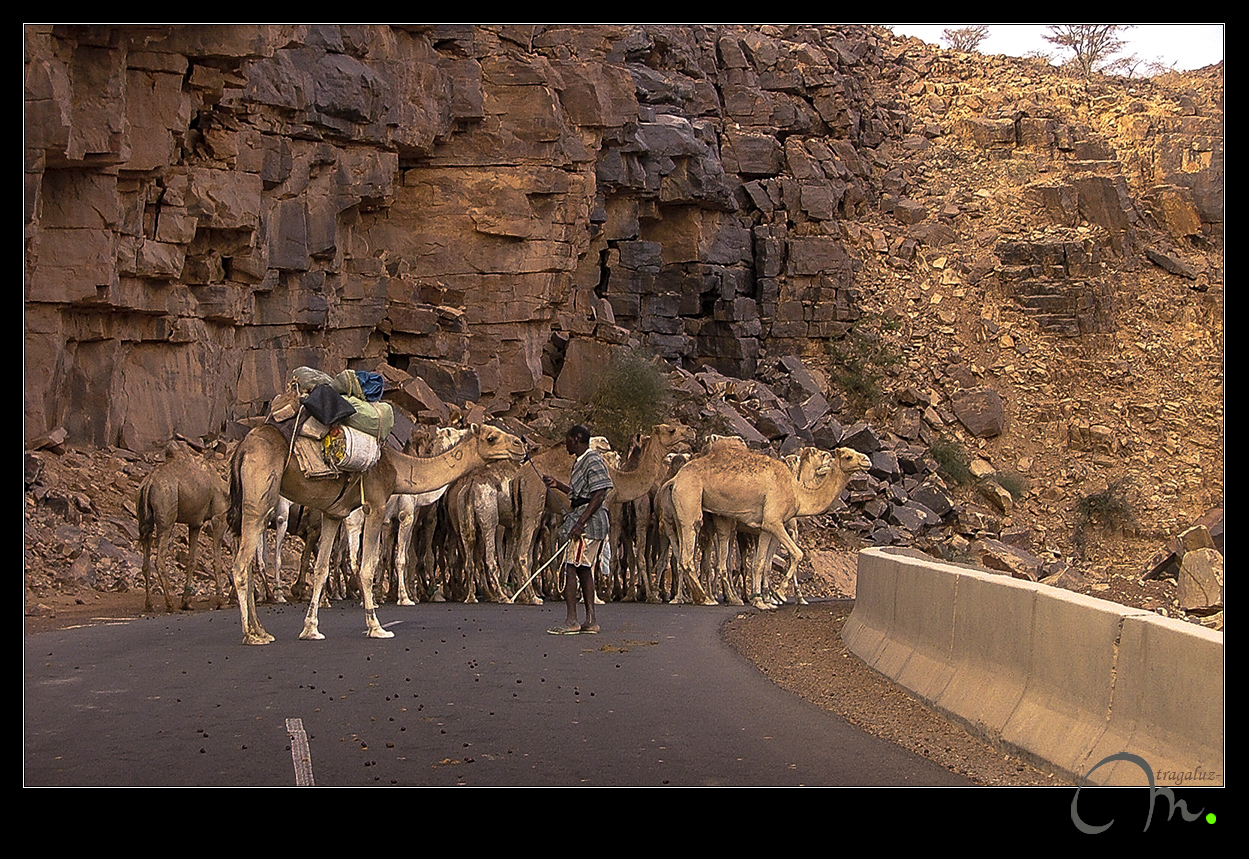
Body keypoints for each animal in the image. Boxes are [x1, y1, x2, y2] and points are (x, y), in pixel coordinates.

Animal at [138, 441, 231, 611]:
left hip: (144, 520)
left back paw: (149, 605)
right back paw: (169, 604)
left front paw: (186, 602)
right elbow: (217, 561)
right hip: (166, 516)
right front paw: (221, 601)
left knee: (146, 562)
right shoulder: (219, 517)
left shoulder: (195, 523)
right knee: (159, 559)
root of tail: (148, 483)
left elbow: (192, 560)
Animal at [229, 422, 527, 644]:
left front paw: (311, 629)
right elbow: (373, 565)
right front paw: (378, 624)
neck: (397, 468)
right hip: (261, 498)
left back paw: (262, 629)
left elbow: (321, 568)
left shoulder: (334, 513)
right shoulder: (379, 506)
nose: (520, 445)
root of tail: (242, 448)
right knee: (242, 564)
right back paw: (251, 634)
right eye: (491, 437)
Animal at [664, 441, 869, 611]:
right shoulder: (775, 521)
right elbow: (797, 554)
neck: (797, 493)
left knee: (690, 556)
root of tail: (675, 480)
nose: (867, 461)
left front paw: (761, 601)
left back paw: (707, 597)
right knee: (689, 555)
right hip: (690, 500)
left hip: (687, 515)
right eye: (848, 456)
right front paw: (779, 594)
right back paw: (705, 598)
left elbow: (760, 563)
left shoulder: (766, 528)